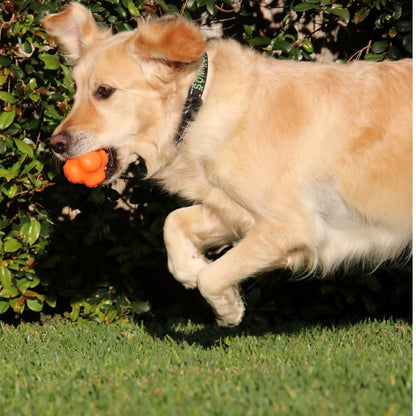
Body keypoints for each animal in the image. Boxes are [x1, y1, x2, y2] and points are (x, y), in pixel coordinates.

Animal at [40, 4, 412, 328]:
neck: (196, 107)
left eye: (104, 91)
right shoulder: (233, 208)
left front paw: (227, 308)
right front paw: (191, 268)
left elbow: (212, 275)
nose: (55, 144)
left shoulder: (292, 226)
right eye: (75, 90)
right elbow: (173, 224)